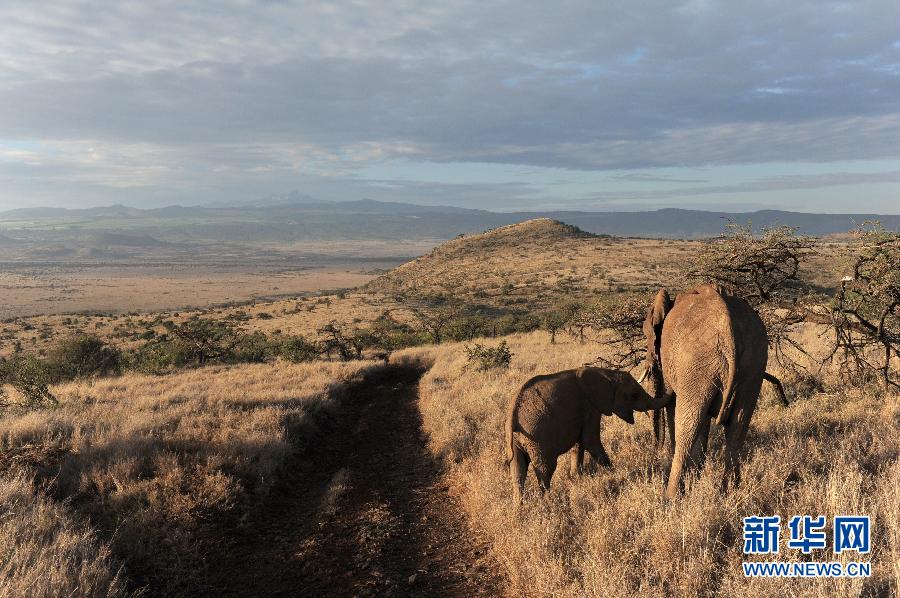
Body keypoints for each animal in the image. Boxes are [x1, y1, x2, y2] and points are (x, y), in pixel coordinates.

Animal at [506, 368, 668, 504]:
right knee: (545, 469)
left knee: (517, 470)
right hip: (538, 437)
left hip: (516, 439)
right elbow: (590, 440)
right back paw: (548, 502)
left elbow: (579, 445)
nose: (671, 393)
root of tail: (513, 413)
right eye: (634, 395)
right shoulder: (591, 407)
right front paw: (615, 473)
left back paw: (519, 508)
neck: (608, 374)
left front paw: (576, 477)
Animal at [640, 284, 768, 500]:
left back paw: (671, 498)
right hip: (753, 364)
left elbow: (673, 407)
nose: (656, 449)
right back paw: (729, 492)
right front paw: (696, 480)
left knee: (687, 428)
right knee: (738, 427)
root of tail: (728, 329)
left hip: (697, 363)